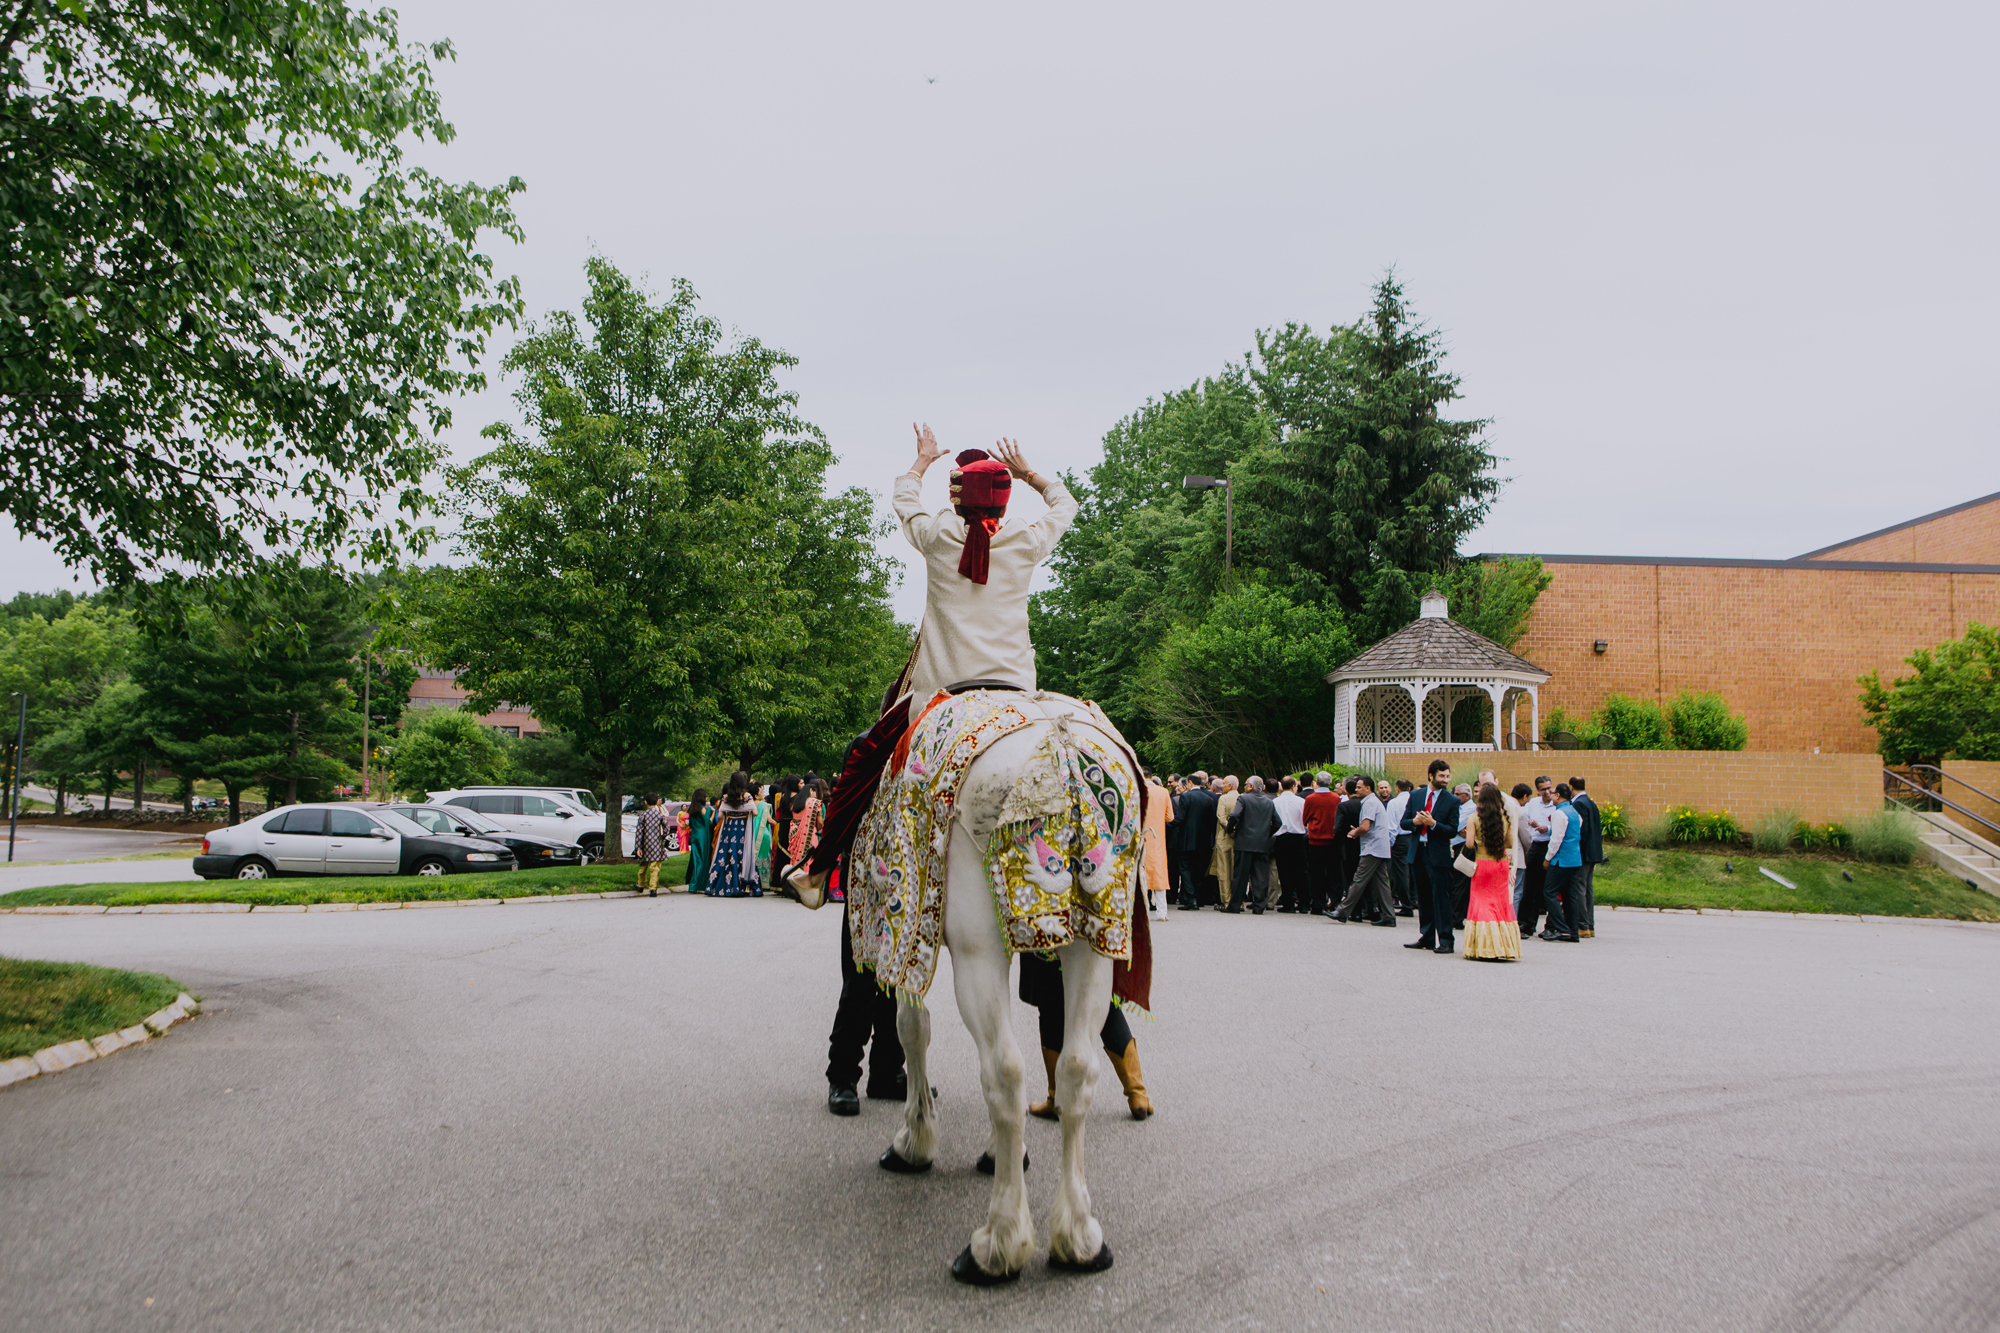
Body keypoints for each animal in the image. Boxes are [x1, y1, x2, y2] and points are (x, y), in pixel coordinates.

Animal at [792, 688, 1144, 1280]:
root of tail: (1059, 740)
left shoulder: (909, 939)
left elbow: (911, 1028)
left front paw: (914, 1139)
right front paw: (1002, 1154)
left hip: (979, 948)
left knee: (1004, 1072)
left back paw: (997, 1244)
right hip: (1095, 945)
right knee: (1077, 1069)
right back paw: (1079, 1237)